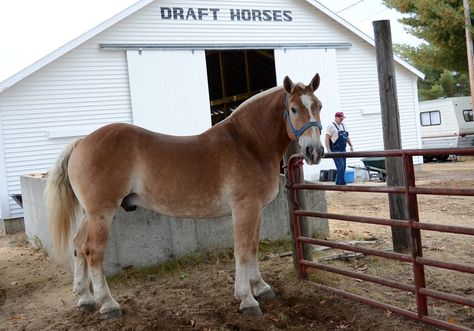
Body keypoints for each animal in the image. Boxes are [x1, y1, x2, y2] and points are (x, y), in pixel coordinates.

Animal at [46, 73, 324, 320]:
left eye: (318, 106)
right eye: (293, 108)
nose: (315, 152)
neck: (248, 144)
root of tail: (82, 142)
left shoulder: (256, 210)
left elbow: (253, 246)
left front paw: (261, 288)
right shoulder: (244, 208)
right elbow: (243, 250)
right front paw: (246, 299)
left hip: (91, 214)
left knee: (78, 246)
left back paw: (85, 299)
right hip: (102, 213)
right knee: (93, 252)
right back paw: (108, 304)